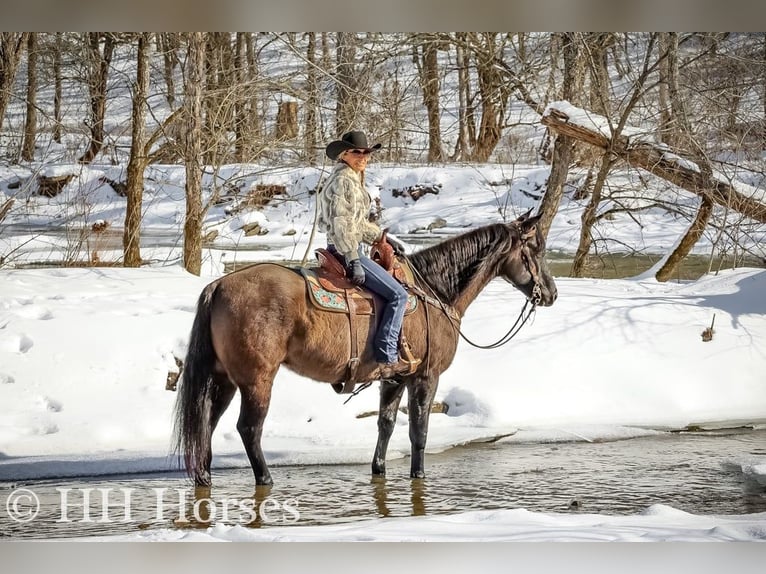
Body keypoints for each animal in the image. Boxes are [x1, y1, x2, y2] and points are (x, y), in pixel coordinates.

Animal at [173, 211, 557, 487]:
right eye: (535, 249)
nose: (552, 293)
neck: (435, 292)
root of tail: (220, 285)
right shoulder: (426, 376)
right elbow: (419, 432)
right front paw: (419, 476)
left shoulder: (394, 378)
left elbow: (386, 425)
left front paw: (379, 470)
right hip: (256, 381)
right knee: (249, 430)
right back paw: (265, 479)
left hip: (223, 379)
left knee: (206, 423)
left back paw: (204, 478)